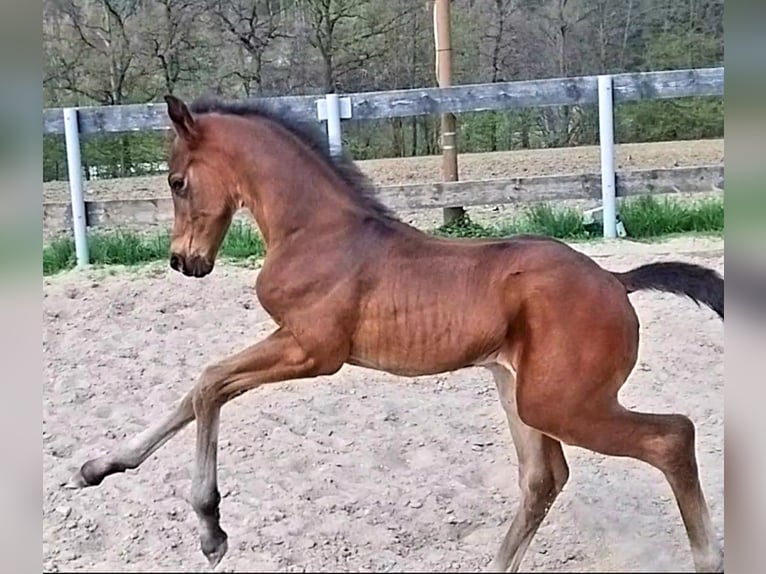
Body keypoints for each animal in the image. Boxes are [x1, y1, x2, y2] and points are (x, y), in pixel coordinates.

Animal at [67, 97, 728, 572]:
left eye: (176, 181)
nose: (184, 262)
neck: (316, 231)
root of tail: (617, 280)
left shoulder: (314, 350)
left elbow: (208, 384)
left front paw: (211, 529)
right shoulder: (293, 342)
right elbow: (197, 388)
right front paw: (97, 467)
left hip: (561, 402)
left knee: (672, 437)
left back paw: (708, 556)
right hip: (519, 390)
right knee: (544, 478)